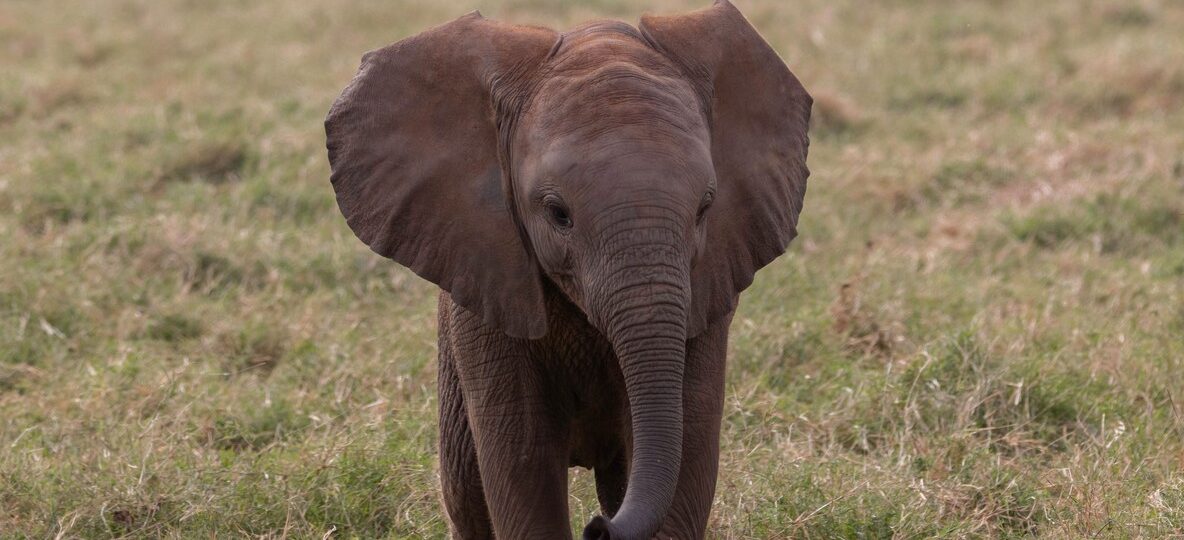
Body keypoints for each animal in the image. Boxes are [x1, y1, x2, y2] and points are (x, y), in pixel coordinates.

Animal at [324, 1, 811, 538]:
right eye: (558, 213)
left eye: (706, 207)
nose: (598, 527)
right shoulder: (487, 289)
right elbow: (522, 463)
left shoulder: (708, 289)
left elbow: (688, 449)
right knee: (468, 497)